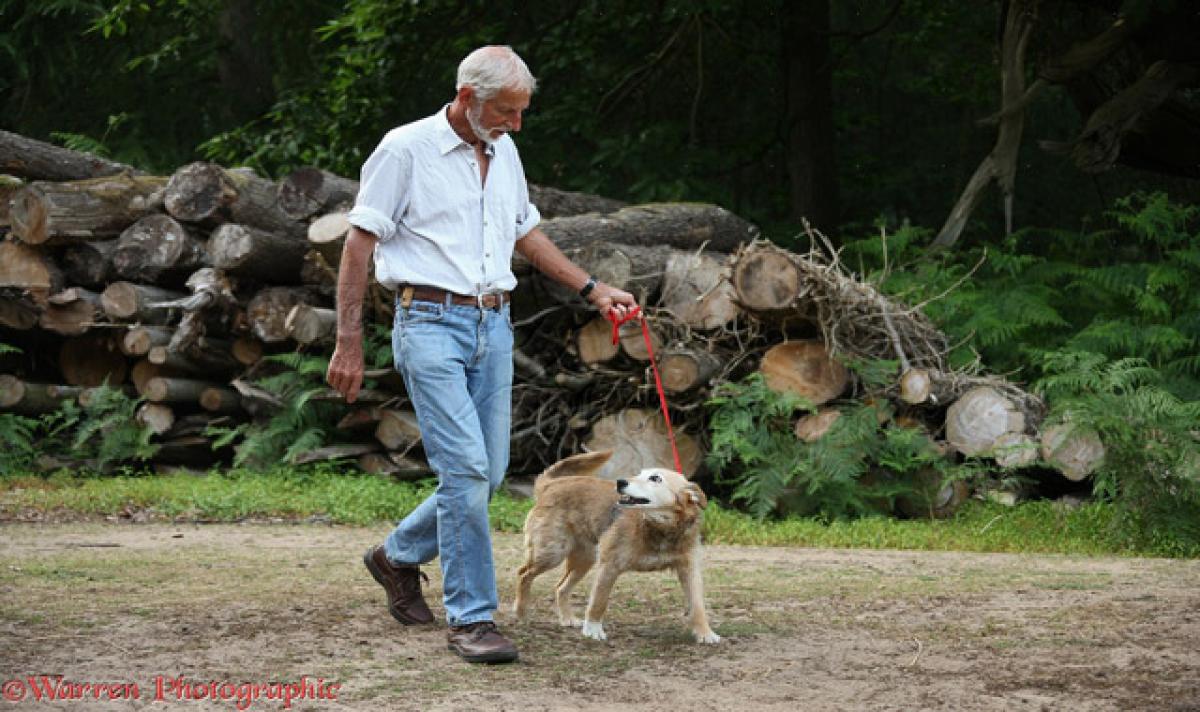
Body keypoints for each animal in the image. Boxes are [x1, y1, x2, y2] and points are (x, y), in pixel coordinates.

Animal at [508, 449, 715, 643]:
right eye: (638, 474)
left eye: (655, 478)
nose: (620, 482)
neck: (659, 527)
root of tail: (551, 485)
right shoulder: (610, 566)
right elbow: (599, 602)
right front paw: (593, 630)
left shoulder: (689, 570)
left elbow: (698, 606)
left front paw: (705, 633)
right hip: (552, 553)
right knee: (524, 574)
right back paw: (521, 612)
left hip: (585, 560)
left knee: (560, 587)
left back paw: (567, 618)